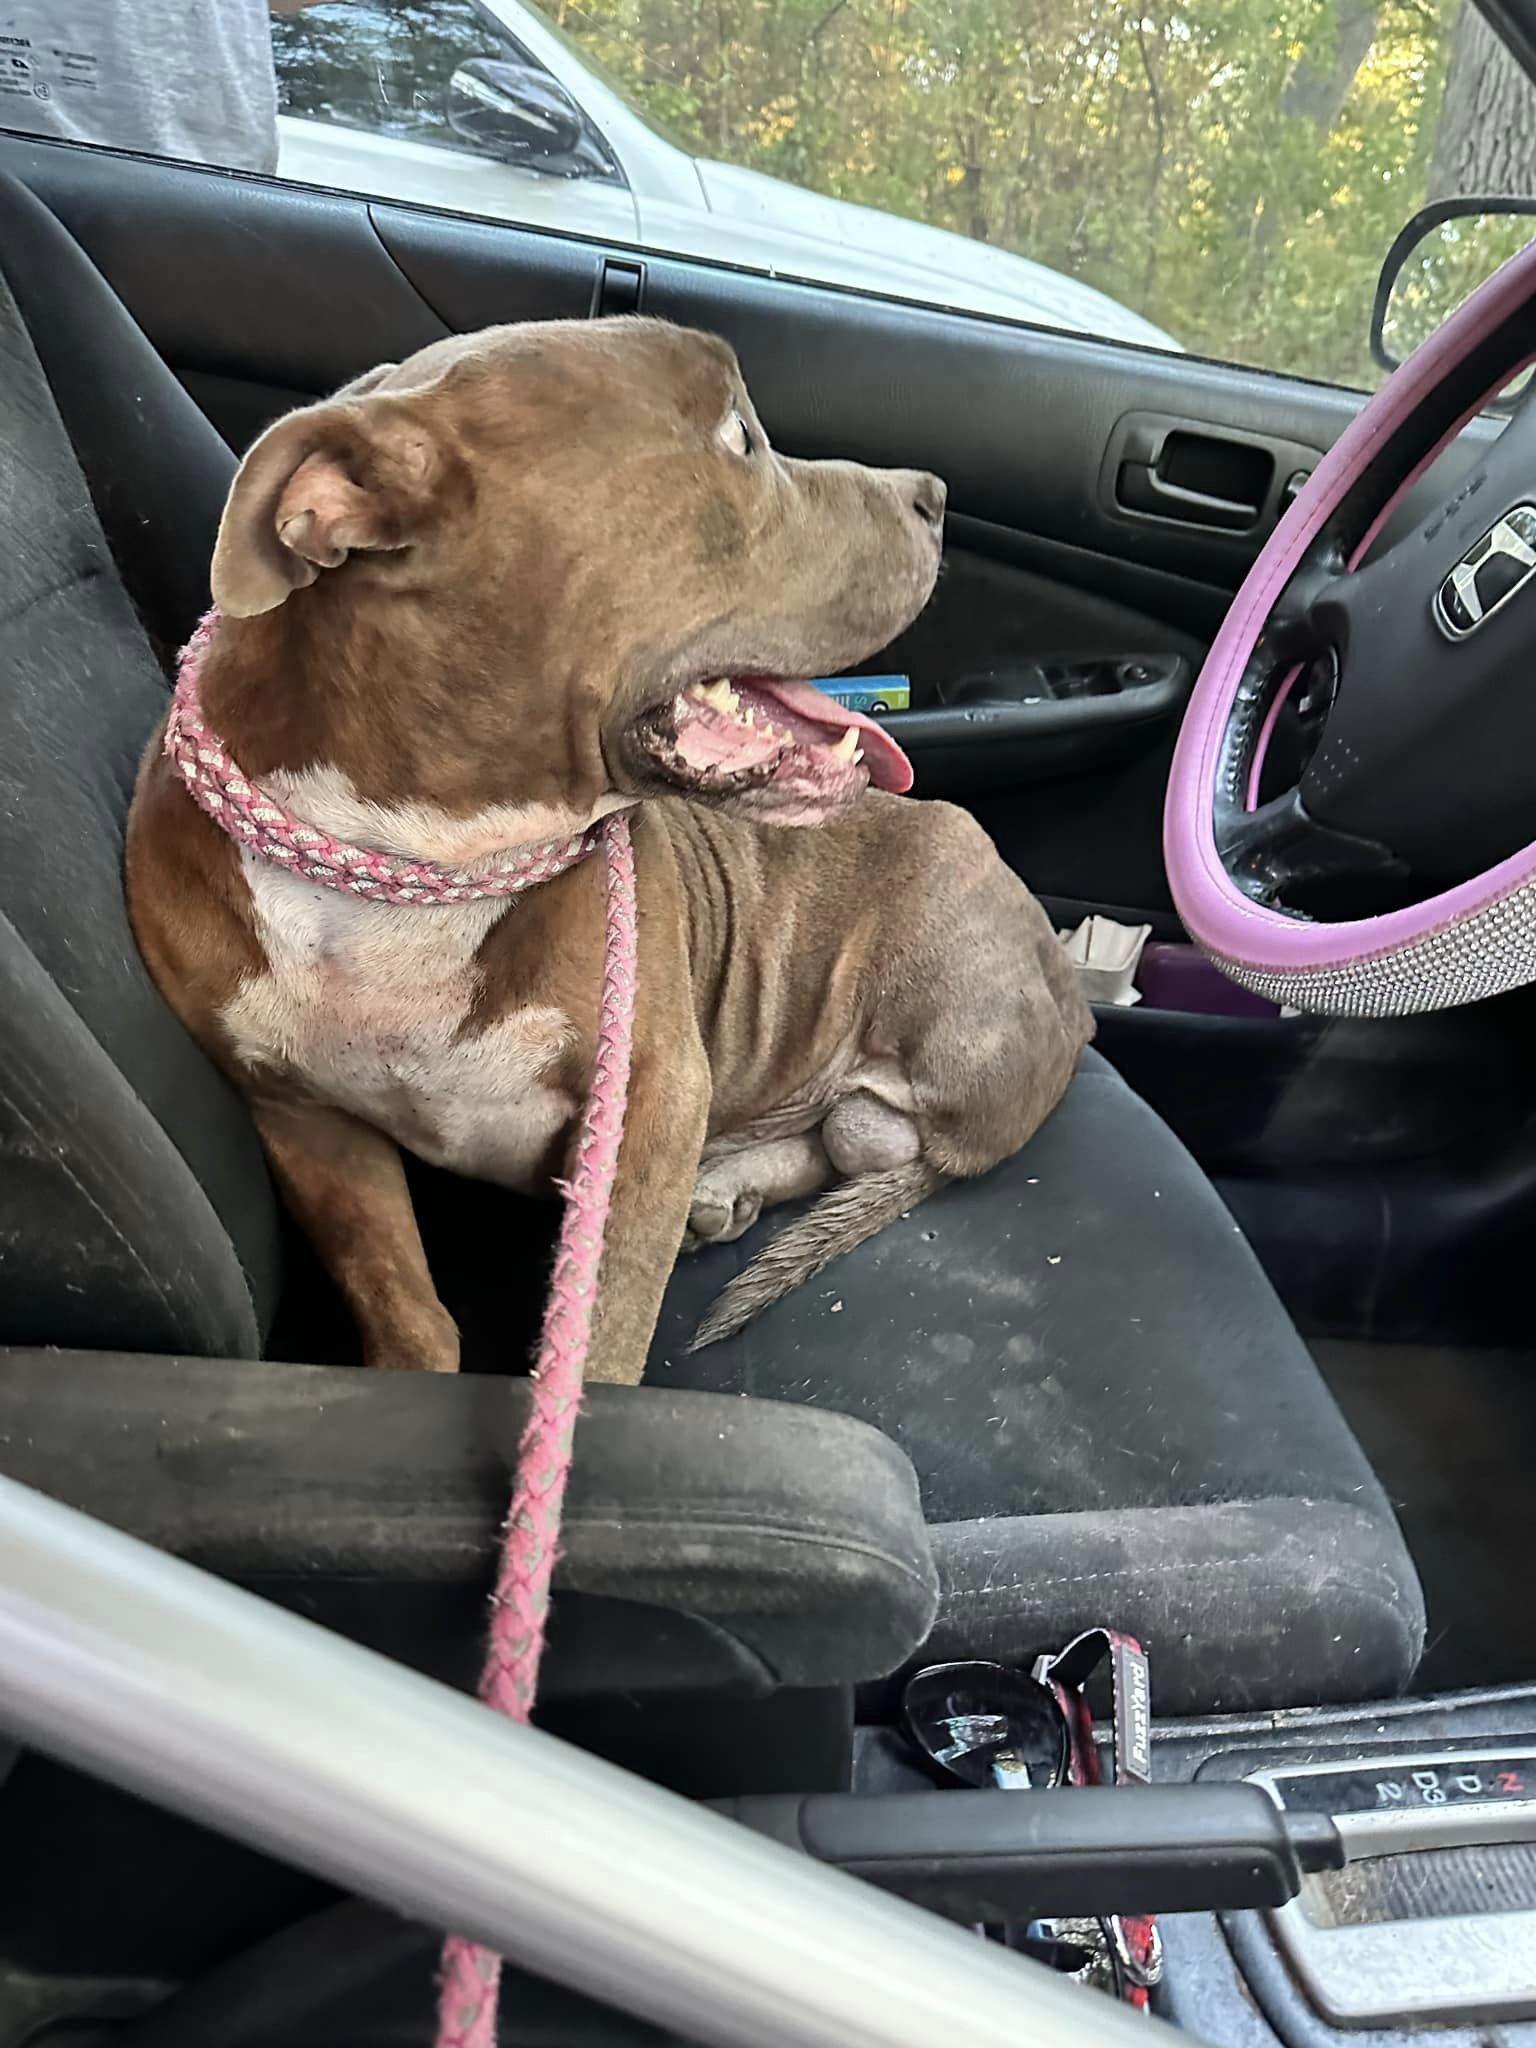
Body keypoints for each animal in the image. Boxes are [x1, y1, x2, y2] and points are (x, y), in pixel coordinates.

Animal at [132, 319, 1097, 1384]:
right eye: (739, 439)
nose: (933, 494)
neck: (417, 872)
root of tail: (1073, 993)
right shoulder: (304, 1120)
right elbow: (404, 1306)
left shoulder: (649, 1099)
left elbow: (600, 1329)